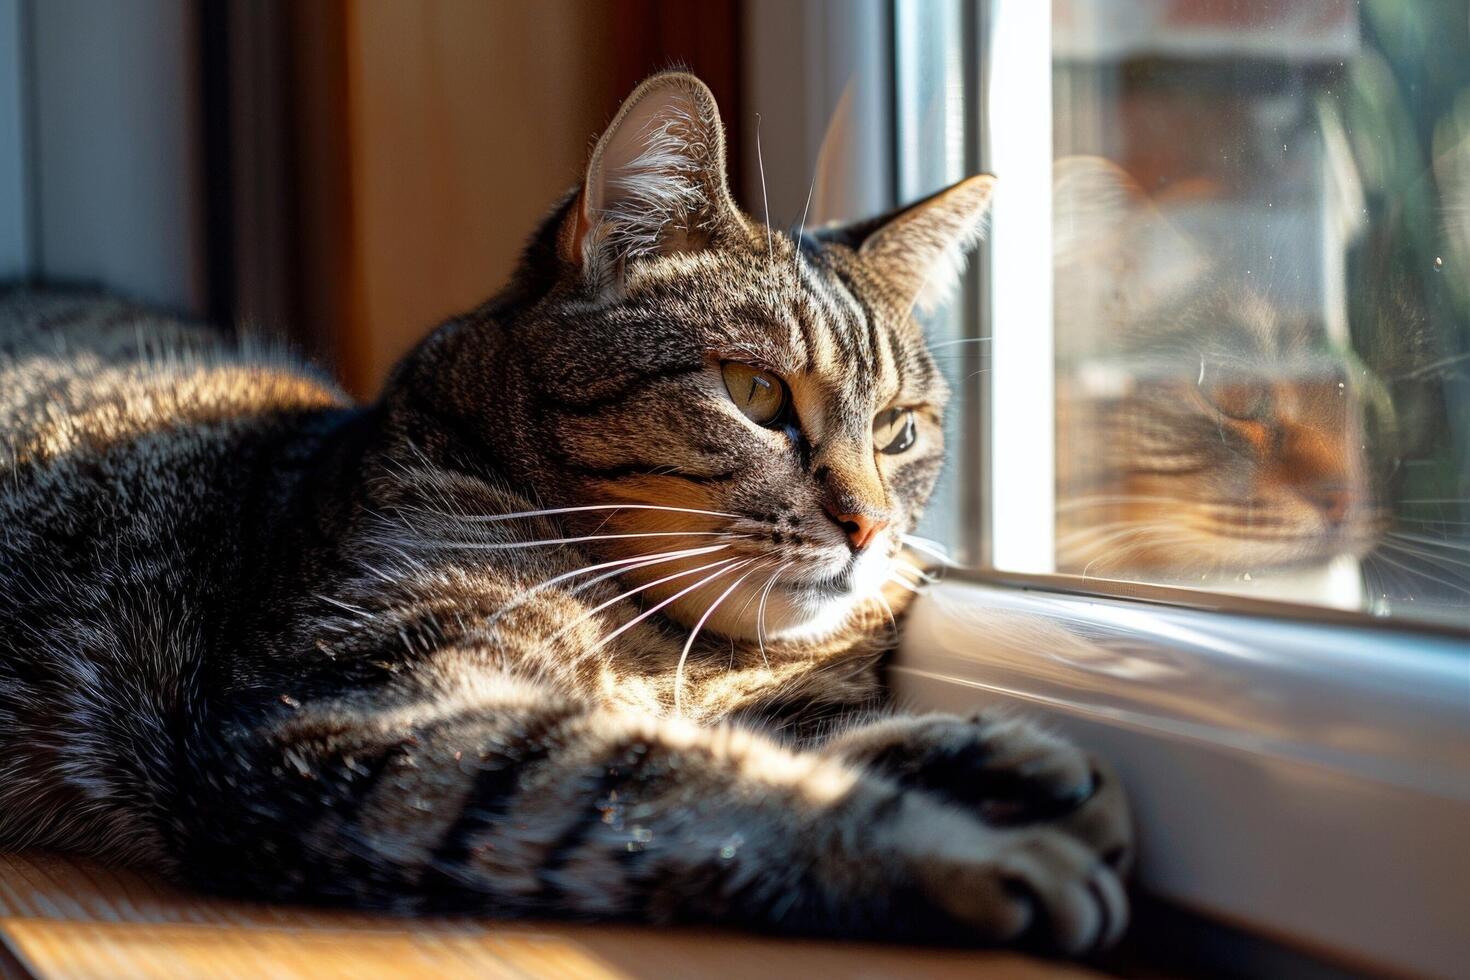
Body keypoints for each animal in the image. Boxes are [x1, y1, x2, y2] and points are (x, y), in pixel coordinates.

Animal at [0, 72, 1123, 952]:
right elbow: (668, 778)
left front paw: (979, 756)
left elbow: (757, 736)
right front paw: (953, 840)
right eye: (755, 392)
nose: (872, 526)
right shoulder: (349, 717)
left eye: (898, 430)